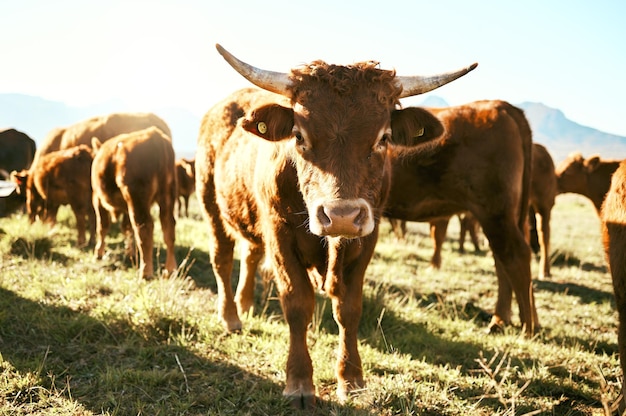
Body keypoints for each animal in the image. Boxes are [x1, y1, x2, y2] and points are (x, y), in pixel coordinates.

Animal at [89, 125, 176, 278]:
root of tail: (155, 135)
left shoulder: (97, 199)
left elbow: (102, 227)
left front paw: (98, 253)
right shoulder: (125, 207)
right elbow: (127, 227)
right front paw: (130, 253)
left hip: (137, 197)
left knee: (144, 228)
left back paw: (145, 272)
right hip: (167, 195)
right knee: (168, 227)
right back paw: (170, 269)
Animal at [382, 100, 532, 334]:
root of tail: (501, 106)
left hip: (496, 213)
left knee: (516, 256)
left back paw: (527, 327)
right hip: (503, 217)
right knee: (502, 260)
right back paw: (501, 319)